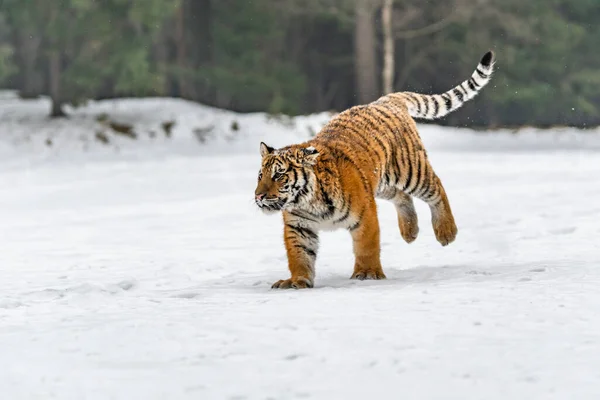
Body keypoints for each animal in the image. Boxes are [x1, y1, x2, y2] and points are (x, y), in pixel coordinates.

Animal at [255, 50, 494, 288]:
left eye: (278, 174)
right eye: (260, 176)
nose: (258, 196)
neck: (308, 202)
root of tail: (385, 99)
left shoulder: (365, 214)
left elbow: (366, 246)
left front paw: (367, 273)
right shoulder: (298, 227)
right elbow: (299, 255)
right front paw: (297, 281)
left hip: (410, 172)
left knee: (436, 188)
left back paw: (446, 231)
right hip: (382, 182)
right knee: (402, 196)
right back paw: (410, 231)